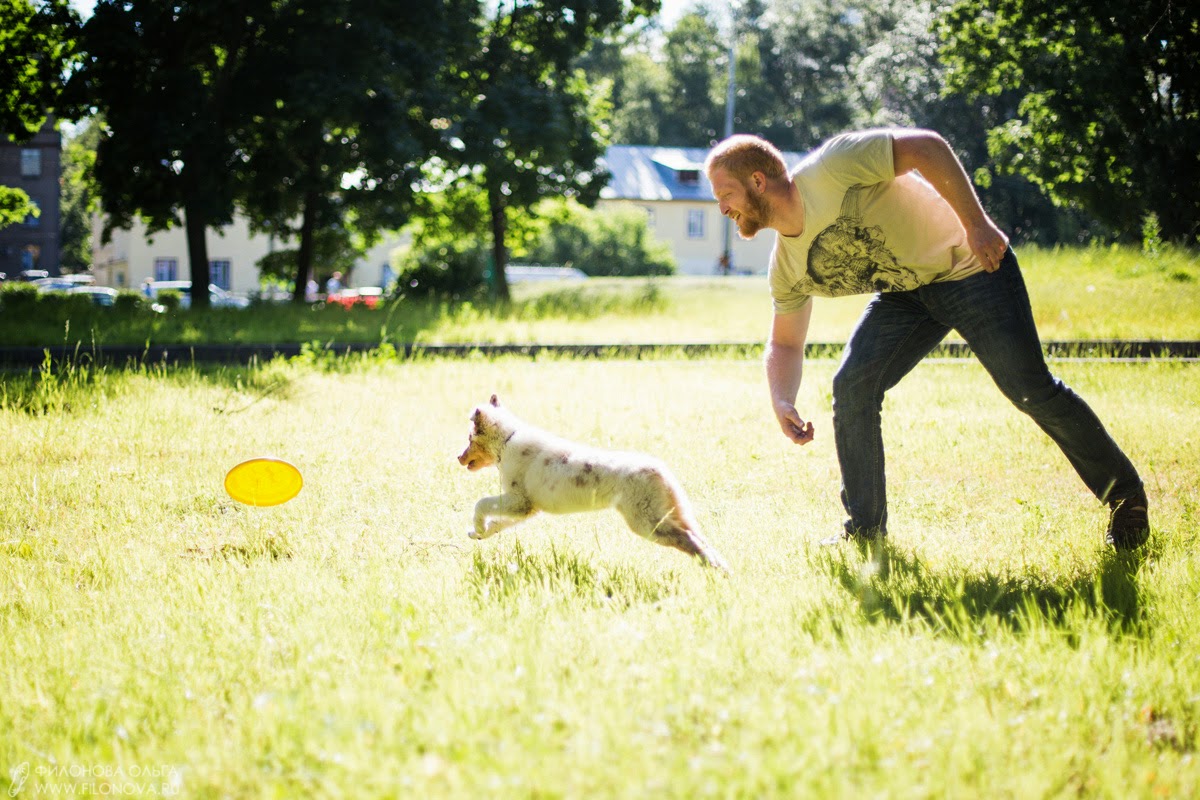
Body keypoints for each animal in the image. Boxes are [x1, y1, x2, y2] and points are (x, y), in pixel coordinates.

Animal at [453, 393, 724, 568]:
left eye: (469, 439)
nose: (458, 457)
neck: (507, 440)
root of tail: (660, 469)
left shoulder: (519, 501)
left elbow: (481, 504)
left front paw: (477, 527)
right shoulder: (526, 509)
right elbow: (499, 524)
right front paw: (478, 533)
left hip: (647, 523)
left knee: (687, 539)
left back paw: (714, 568)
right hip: (665, 515)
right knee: (697, 537)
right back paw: (717, 564)